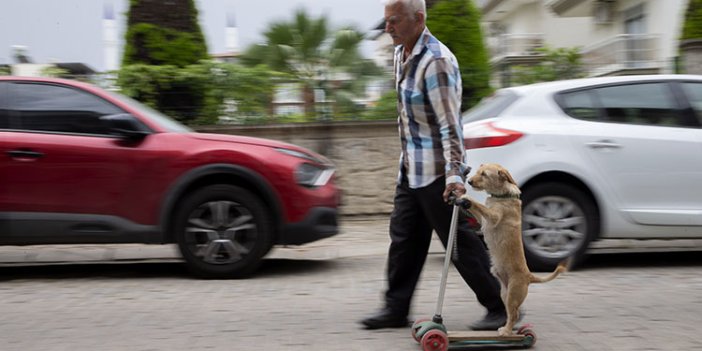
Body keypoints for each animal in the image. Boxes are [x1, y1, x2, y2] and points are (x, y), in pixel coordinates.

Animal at [460, 164, 568, 336]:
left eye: (484, 174)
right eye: (477, 172)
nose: (469, 182)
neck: (502, 196)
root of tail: (529, 276)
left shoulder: (493, 216)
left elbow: (479, 205)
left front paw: (468, 199)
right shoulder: (483, 220)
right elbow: (478, 209)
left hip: (512, 295)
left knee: (515, 314)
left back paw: (506, 331)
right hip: (504, 294)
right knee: (512, 314)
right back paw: (505, 327)